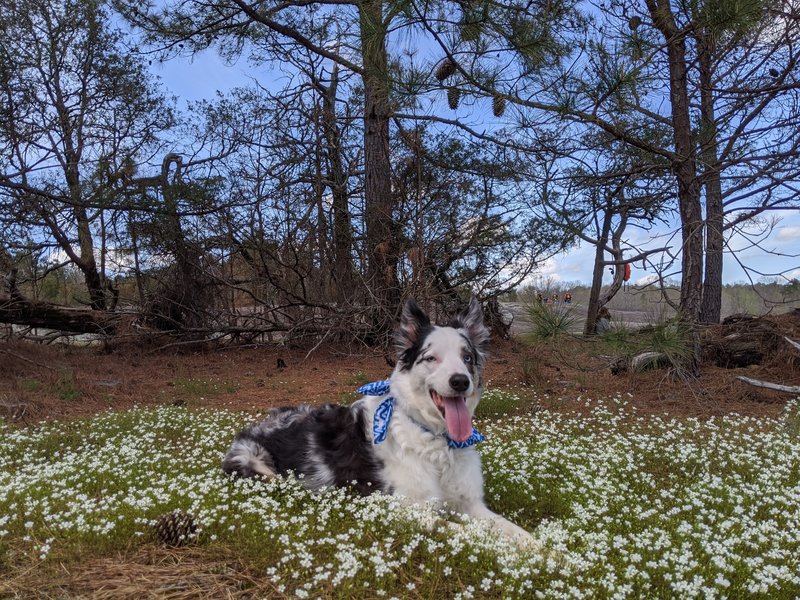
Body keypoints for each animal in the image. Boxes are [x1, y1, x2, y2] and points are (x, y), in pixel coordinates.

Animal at [222, 298, 536, 544]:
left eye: (467, 357)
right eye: (431, 358)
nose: (460, 381)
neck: (435, 440)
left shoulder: (470, 503)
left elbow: (517, 534)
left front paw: (544, 553)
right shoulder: (408, 510)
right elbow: (476, 534)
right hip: (254, 464)